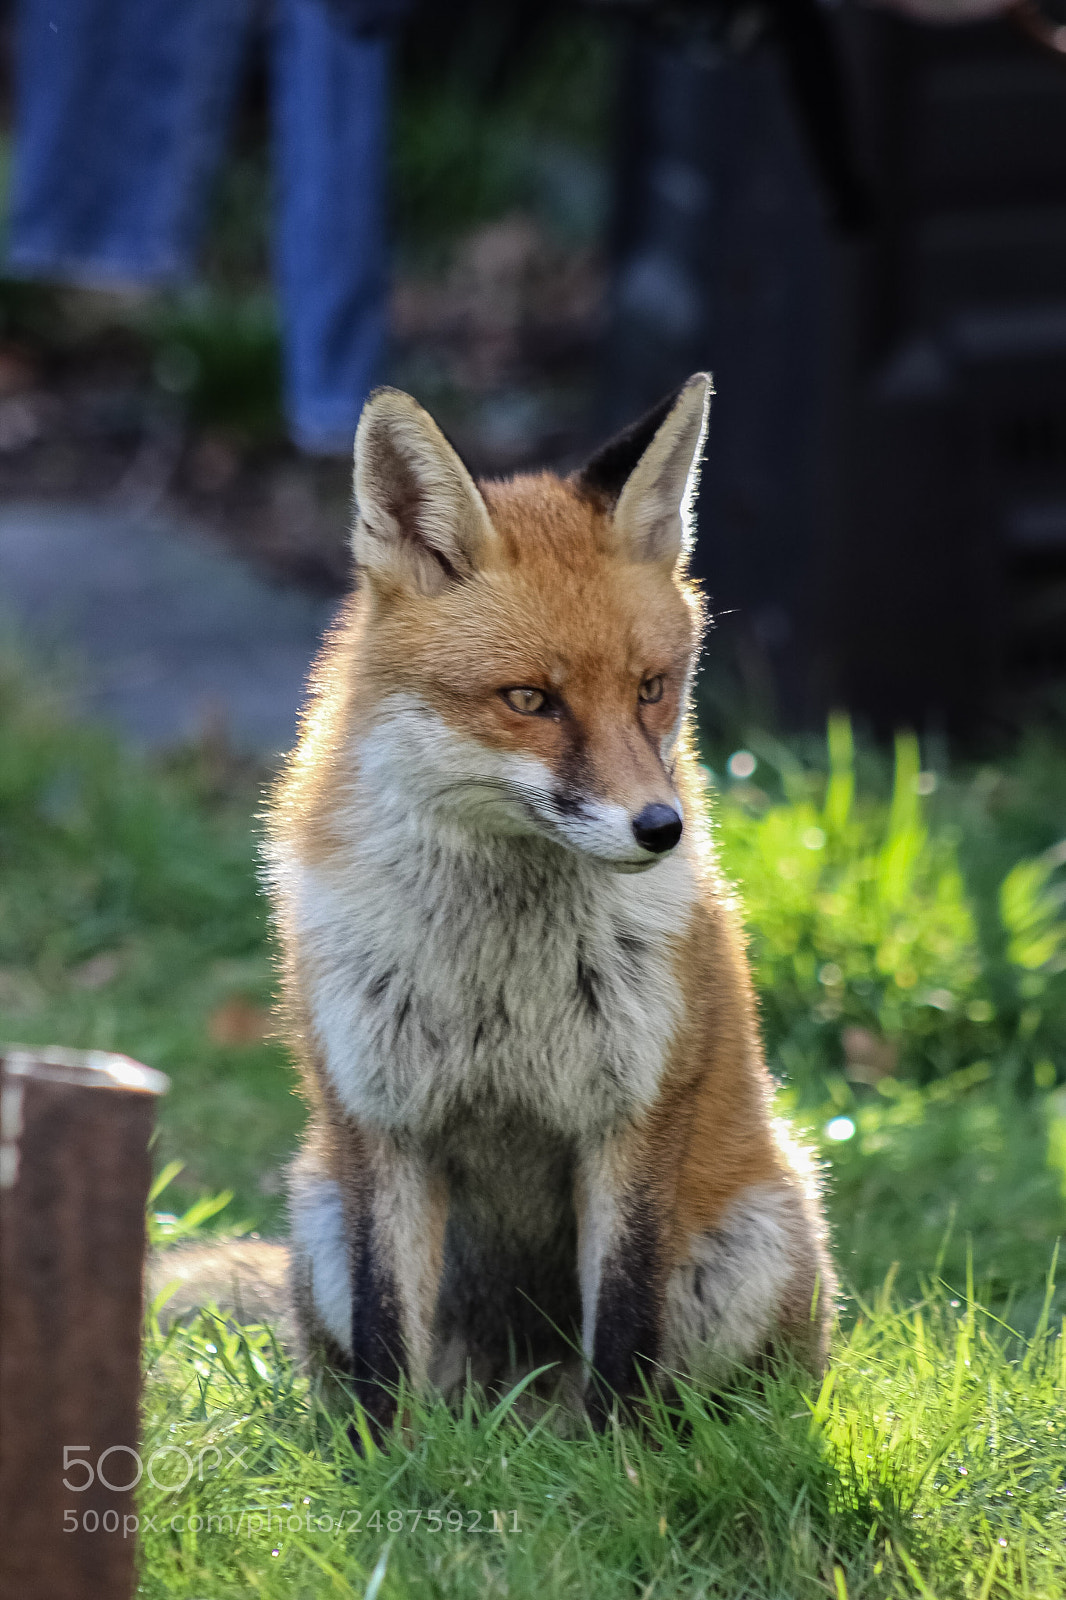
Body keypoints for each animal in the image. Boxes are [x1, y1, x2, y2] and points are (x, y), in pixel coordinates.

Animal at [221, 371, 836, 1433]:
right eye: (529, 701)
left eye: (651, 689)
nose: (662, 829)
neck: (498, 972)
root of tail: (522, 1404)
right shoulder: (381, 1121)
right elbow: (387, 1341)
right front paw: (390, 1459)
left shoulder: (633, 1113)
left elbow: (624, 1329)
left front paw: (622, 1461)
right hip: (320, 1216)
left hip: (755, 1244)